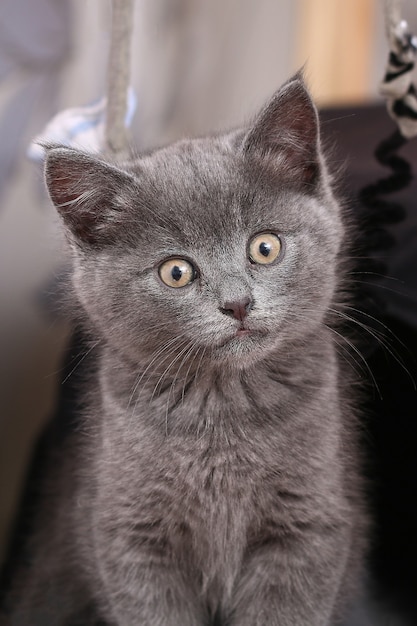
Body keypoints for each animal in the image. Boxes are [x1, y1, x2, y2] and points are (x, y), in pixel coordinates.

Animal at [0, 78, 364, 624]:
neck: (223, 410)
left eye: (265, 247)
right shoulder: (129, 537)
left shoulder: (308, 525)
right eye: (176, 272)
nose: (237, 303)